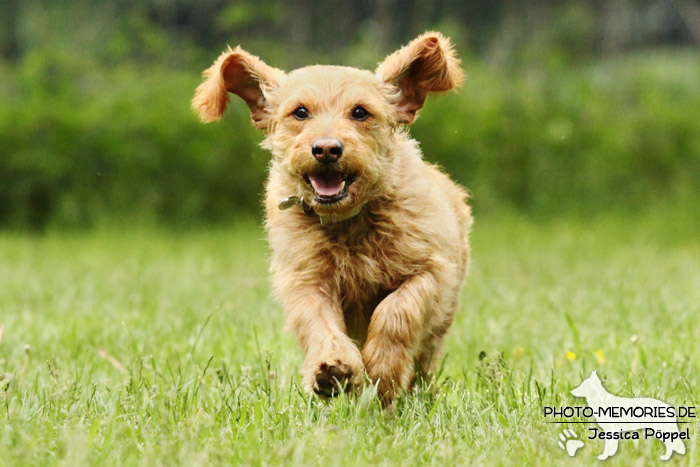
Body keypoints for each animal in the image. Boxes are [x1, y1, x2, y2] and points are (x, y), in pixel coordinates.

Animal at [194, 33, 474, 406]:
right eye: (300, 112)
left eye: (360, 112)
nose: (327, 148)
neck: (348, 222)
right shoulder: (306, 279)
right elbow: (318, 320)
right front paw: (331, 367)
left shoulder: (431, 271)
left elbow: (396, 311)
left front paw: (383, 371)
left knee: (425, 357)